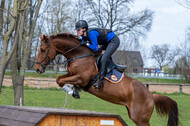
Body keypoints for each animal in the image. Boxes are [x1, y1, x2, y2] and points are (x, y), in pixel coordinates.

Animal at [35, 33, 179, 125]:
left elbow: (61, 81)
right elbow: (59, 79)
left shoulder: (82, 79)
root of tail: (151, 95)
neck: (80, 55)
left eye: (42, 50)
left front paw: (73, 90)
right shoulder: (71, 74)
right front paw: (74, 90)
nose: (37, 69)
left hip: (140, 119)